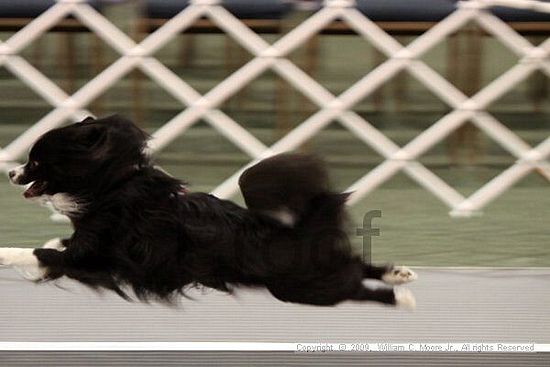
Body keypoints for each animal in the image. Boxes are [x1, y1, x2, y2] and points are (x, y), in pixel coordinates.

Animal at [3, 116, 418, 310]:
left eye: (35, 161)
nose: (10, 173)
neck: (111, 186)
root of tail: (302, 229)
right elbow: (54, 243)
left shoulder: (91, 255)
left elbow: (39, 253)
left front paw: (8, 255)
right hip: (318, 272)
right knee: (357, 267)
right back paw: (399, 274)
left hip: (301, 288)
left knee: (356, 288)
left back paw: (400, 298)